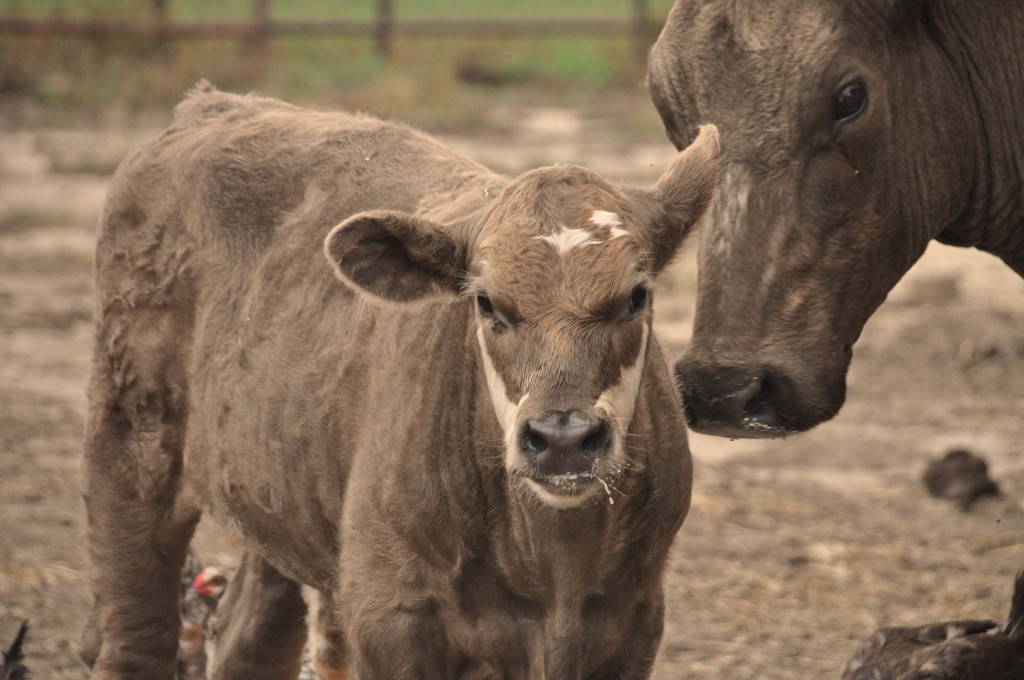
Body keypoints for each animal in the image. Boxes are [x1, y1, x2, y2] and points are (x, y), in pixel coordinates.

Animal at [81, 85, 720, 680]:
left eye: (636, 295)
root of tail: (212, 104)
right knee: (135, 641)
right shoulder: (388, 613)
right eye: (486, 302)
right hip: (130, 447)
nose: (563, 438)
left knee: (249, 639)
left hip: (283, 488)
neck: (554, 570)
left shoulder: (634, 619)